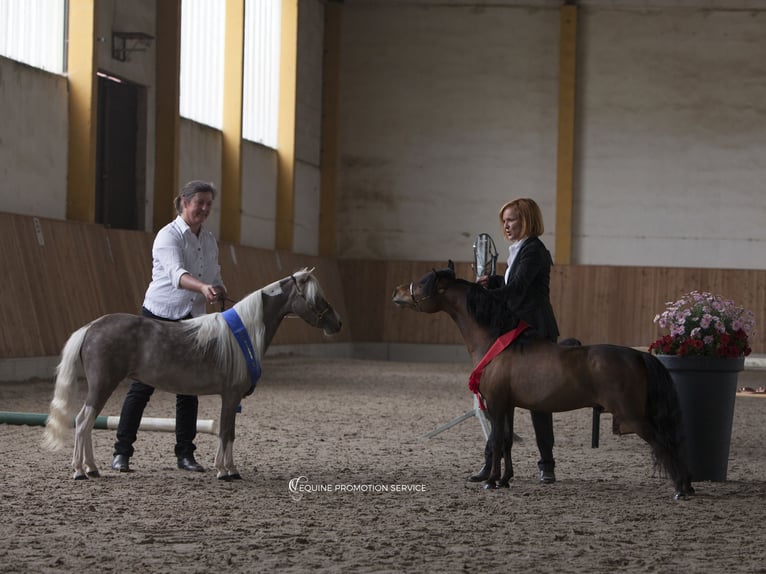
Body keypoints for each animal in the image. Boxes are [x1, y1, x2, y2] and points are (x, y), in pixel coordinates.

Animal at [42, 268, 342, 482]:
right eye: (316, 298)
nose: (337, 323)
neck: (244, 332)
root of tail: (92, 326)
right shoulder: (230, 395)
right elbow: (226, 432)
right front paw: (225, 471)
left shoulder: (230, 398)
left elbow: (229, 432)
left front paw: (229, 469)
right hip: (102, 385)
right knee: (83, 421)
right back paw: (80, 471)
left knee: (87, 423)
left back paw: (92, 468)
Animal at [396, 264, 696, 502]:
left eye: (422, 282)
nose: (397, 293)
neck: (497, 343)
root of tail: (639, 355)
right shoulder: (509, 405)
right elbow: (506, 441)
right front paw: (505, 479)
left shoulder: (495, 404)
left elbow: (495, 441)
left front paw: (491, 482)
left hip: (633, 416)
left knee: (665, 442)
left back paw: (681, 488)